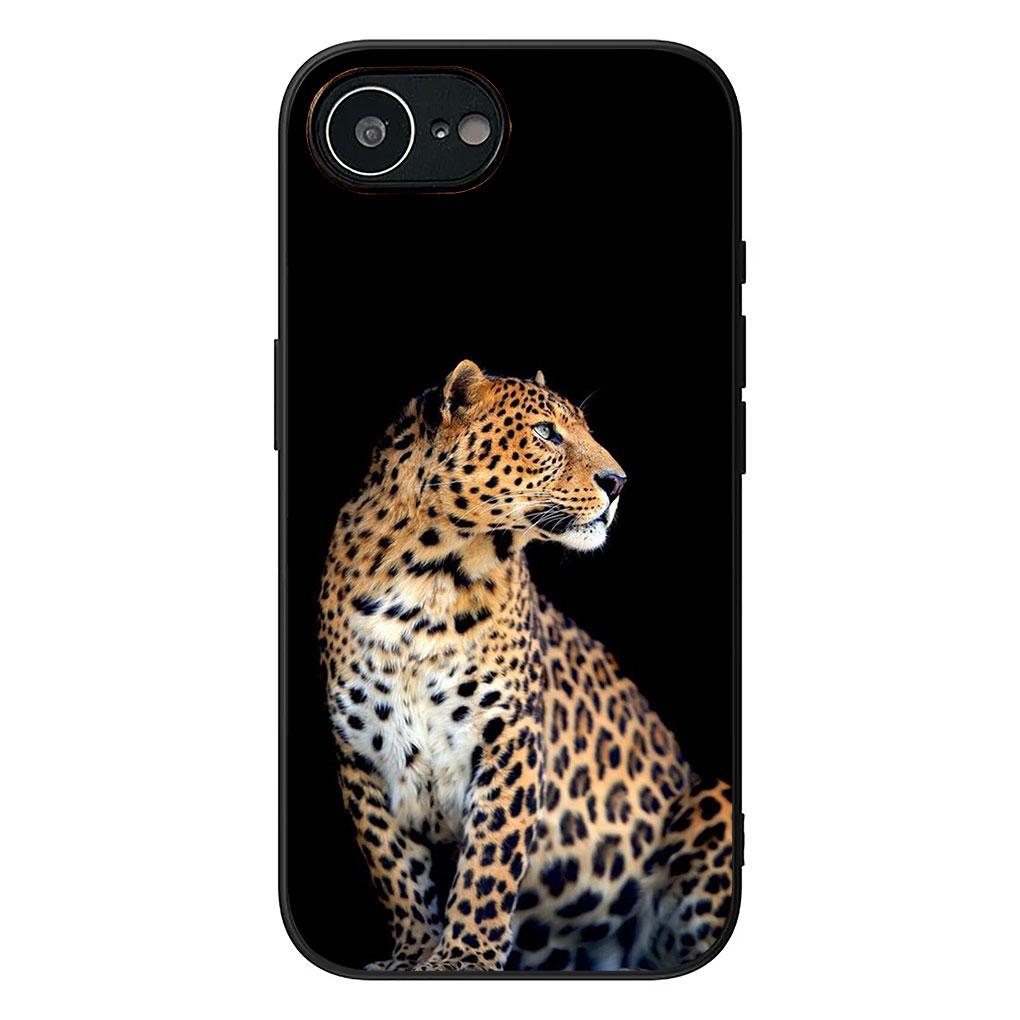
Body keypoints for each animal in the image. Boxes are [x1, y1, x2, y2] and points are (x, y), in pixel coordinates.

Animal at [319, 360, 734, 973]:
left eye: (583, 429)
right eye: (545, 433)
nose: (619, 482)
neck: (426, 579)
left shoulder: (509, 737)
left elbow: (489, 862)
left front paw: (462, 958)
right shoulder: (360, 755)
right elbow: (395, 868)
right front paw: (413, 953)